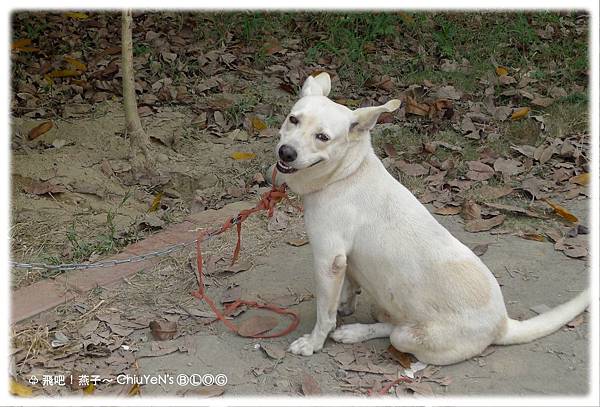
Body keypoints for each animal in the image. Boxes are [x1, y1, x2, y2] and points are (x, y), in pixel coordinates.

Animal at [276, 73, 592, 366]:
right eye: (293, 119)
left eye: (323, 137)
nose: (285, 152)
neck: (347, 173)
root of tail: (503, 325)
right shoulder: (346, 261)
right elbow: (349, 289)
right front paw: (344, 305)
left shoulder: (328, 260)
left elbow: (324, 314)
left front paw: (314, 343)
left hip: (408, 337)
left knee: (395, 331)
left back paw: (355, 333)